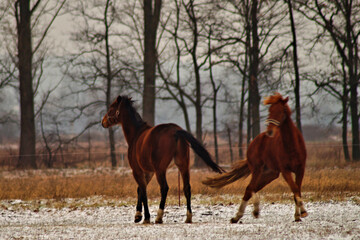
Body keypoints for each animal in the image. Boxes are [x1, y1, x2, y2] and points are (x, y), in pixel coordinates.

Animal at [102, 95, 225, 223]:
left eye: (111, 108)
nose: (103, 122)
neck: (136, 134)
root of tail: (176, 130)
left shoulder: (137, 171)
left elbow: (143, 191)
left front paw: (145, 217)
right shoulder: (148, 172)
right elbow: (140, 189)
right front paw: (138, 215)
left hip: (160, 170)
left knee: (164, 188)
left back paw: (159, 216)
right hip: (183, 166)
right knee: (187, 188)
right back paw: (188, 217)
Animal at [204, 93, 308, 222]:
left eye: (281, 111)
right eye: (270, 110)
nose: (270, 131)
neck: (292, 146)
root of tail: (254, 141)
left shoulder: (300, 170)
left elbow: (297, 190)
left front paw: (298, 215)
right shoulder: (285, 171)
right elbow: (294, 188)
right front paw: (303, 212)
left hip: (271, 174)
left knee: (251, 188)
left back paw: (245, 214)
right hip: (257, 170)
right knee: (250, 188)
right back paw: (243, 214)